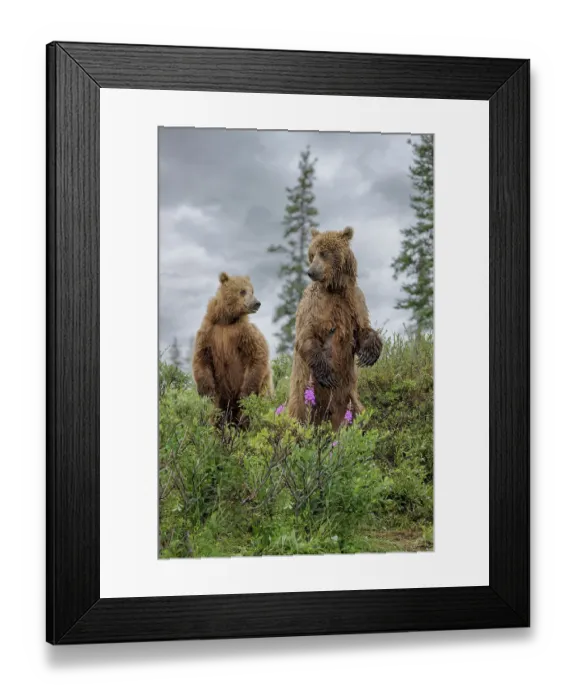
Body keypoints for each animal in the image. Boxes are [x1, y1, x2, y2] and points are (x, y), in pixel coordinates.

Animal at [192, 272, 273, 428]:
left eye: (252, 290)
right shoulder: (209, 332)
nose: (256, 303)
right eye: (242, 291)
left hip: (264, 390)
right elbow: (201, 358)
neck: (226, 320)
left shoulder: (243, 333)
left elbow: (257, 355)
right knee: (217, 415)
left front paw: (245, 395)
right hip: (223, 399)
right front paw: (206, 391)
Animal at [287, 226, 382, 431]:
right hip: (304, 392)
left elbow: (361, 329)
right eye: (312, 254)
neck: (335, 288)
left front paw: (370, 352)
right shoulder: (315, 305)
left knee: (358, 415)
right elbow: (307, 335)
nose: (311, 272)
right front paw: (328, 375)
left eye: (324, 253)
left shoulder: (354, 301)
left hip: (348, 398)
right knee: (300, 415)